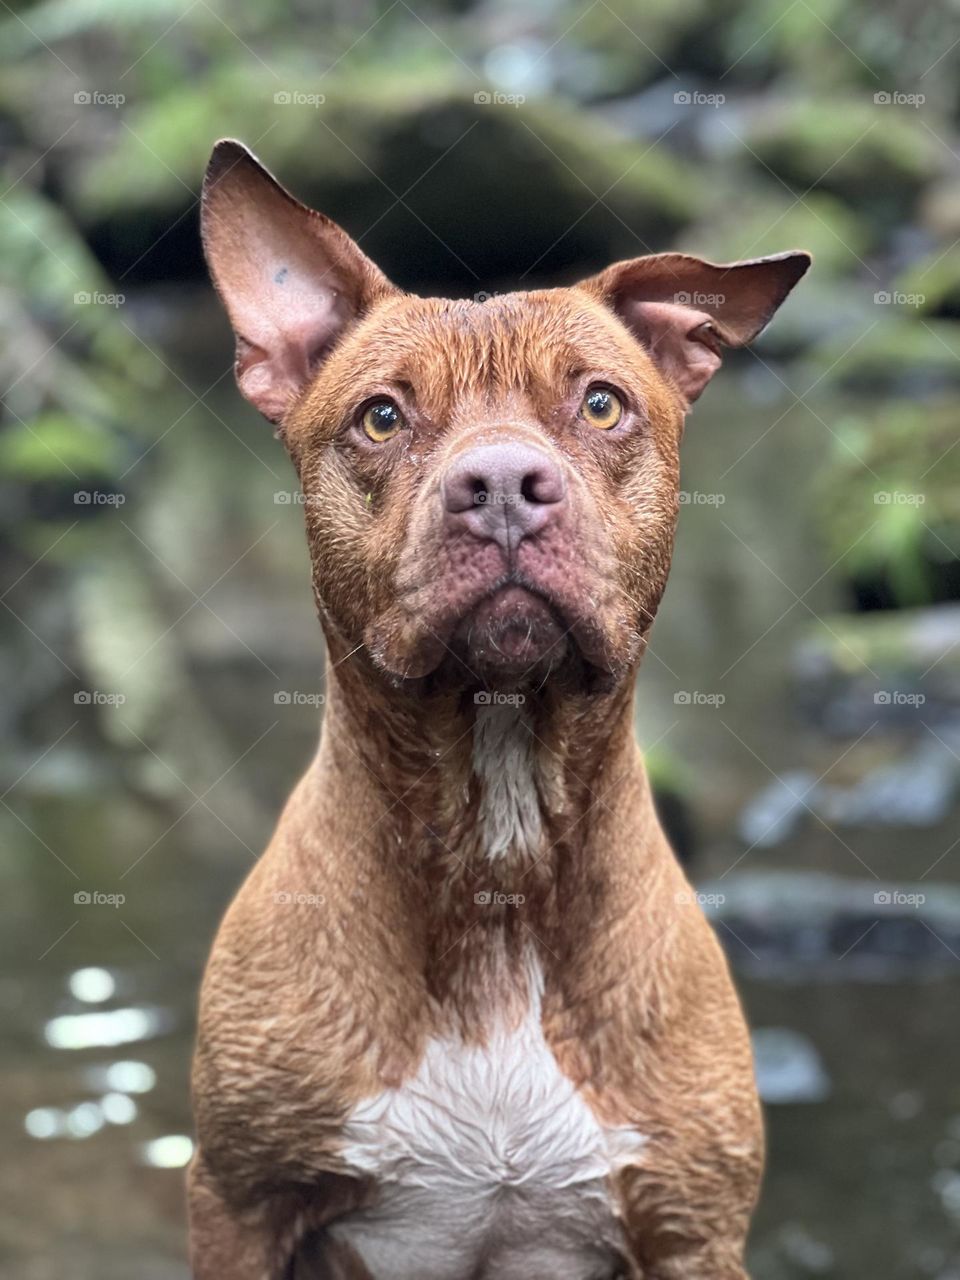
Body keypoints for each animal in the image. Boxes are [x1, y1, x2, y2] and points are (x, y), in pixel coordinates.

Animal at [189, 140, 814, 1280]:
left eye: (602, 404)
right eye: (381, 415)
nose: (502, 482)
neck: (497, 845)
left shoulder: (692, 1228)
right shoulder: (239, 1202)